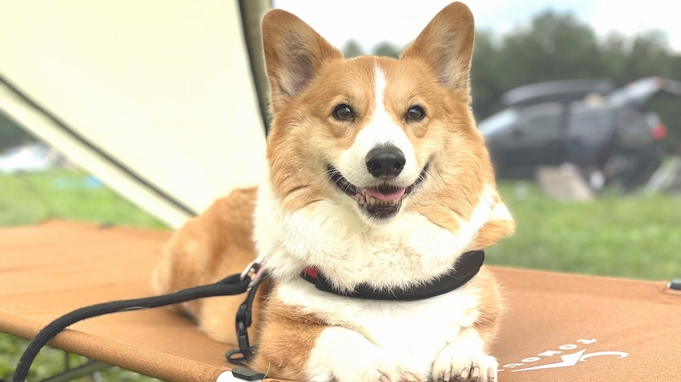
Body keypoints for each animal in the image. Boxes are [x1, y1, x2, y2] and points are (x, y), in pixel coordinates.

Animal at [151, 1, 512, 380]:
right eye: (343, 111)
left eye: (415, 112)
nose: (386, 161)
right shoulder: (277, 336)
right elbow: (338, 334)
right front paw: (380, 365)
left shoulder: (481, 299)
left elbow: (469, 331)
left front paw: (466, 360)